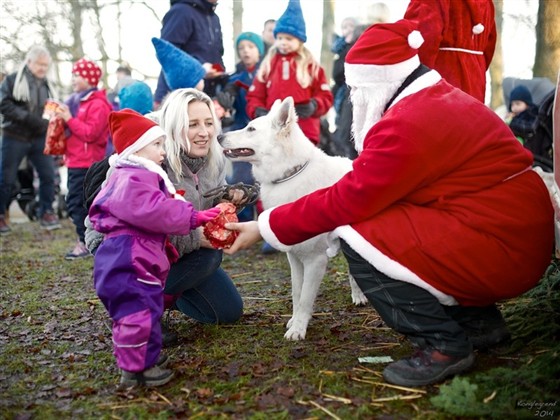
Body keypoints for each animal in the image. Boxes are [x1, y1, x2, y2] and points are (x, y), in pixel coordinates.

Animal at [219, 97, 368, 340]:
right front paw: (294, 321)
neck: (290, 174)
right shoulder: (294, 258)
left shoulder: (315, 260)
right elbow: (297, 293)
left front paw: (298, 329)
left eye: (251, 129)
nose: (218, 137)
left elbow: (306, 296)